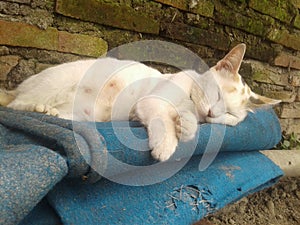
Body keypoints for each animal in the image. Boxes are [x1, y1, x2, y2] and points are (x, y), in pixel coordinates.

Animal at [0, 43, 282, 161]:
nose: (213, 114)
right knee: (15, 105)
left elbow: (186, 122)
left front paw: (185, 127)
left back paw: (53, 114)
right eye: (219, 95)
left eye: (231, 116)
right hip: (55, 83)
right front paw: (166, 144)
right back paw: (39, 108)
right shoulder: (150, 102)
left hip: (85, 114)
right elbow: (163, 119)